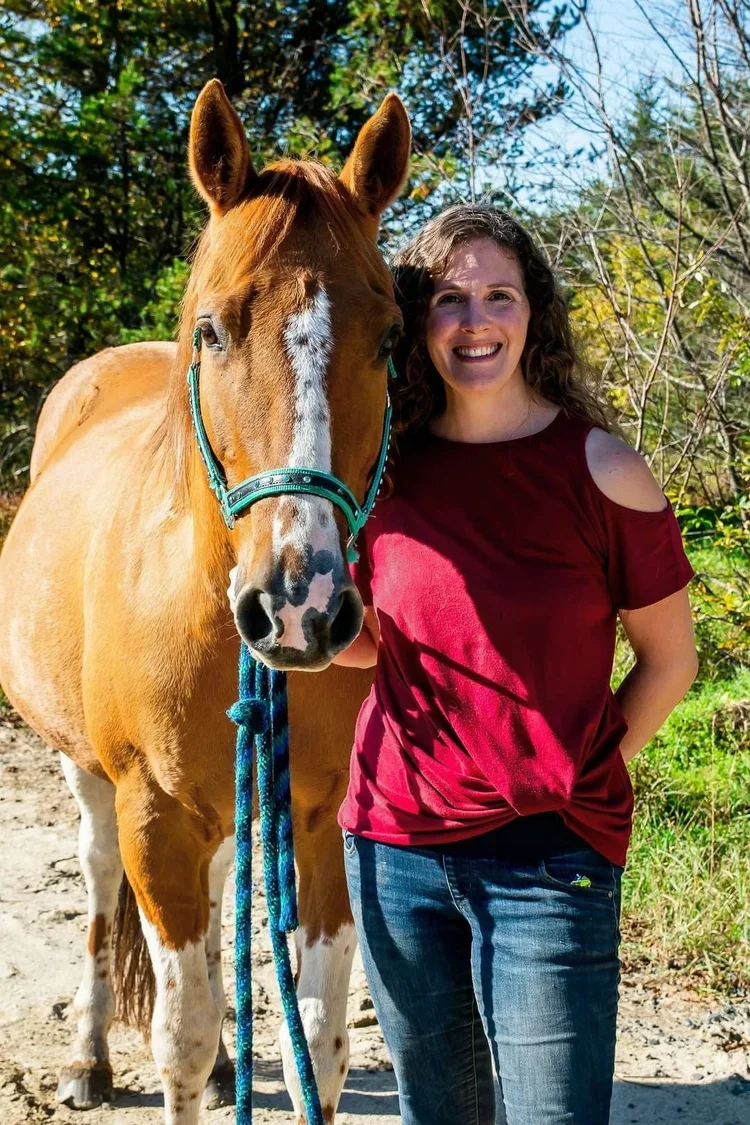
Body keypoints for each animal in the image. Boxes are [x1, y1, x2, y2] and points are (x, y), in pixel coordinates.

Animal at [0, 79, 410, 1124]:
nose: (301, 603)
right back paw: (87, 1055)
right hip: (87, 775)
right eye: (215, 330)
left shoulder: (319, 818)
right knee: (100, 883)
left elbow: (321, 1043)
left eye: (390, 336)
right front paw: (173, 1054)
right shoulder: (152, 814)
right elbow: (175, 1040)